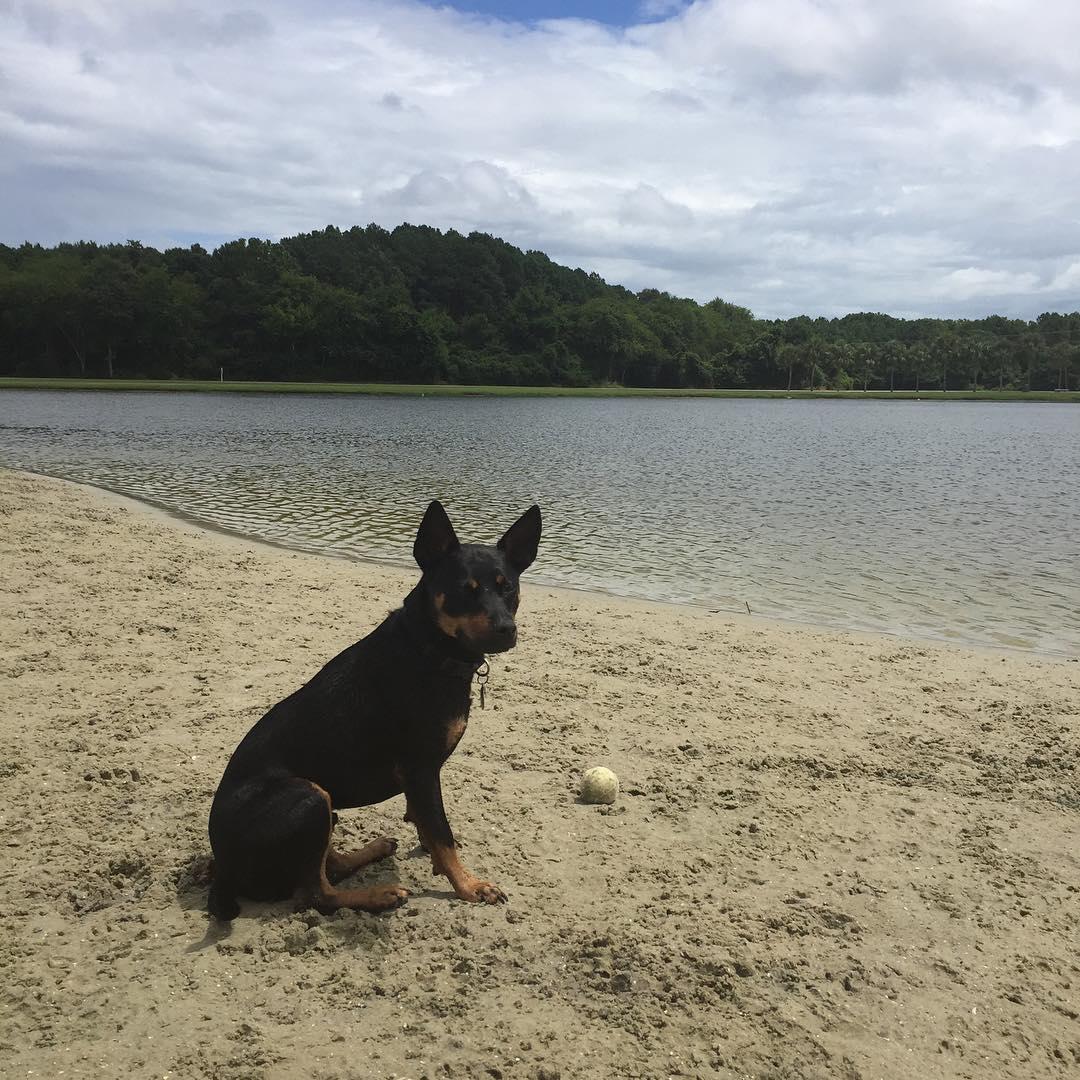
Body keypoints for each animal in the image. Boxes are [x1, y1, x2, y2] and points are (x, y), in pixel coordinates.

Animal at [204, 501, 540, 924]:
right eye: (465, 591)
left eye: (507, 587)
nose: (506, 630)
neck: (430, 649)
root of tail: (222, 867)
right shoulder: (420, 767)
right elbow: (442, 833)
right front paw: (469, 886)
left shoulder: (420, 777)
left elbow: (426, 823)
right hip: (310, 796)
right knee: (317, 893)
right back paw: (379, 895)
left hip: (322, 812)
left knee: (328, 865)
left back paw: (373, 851)